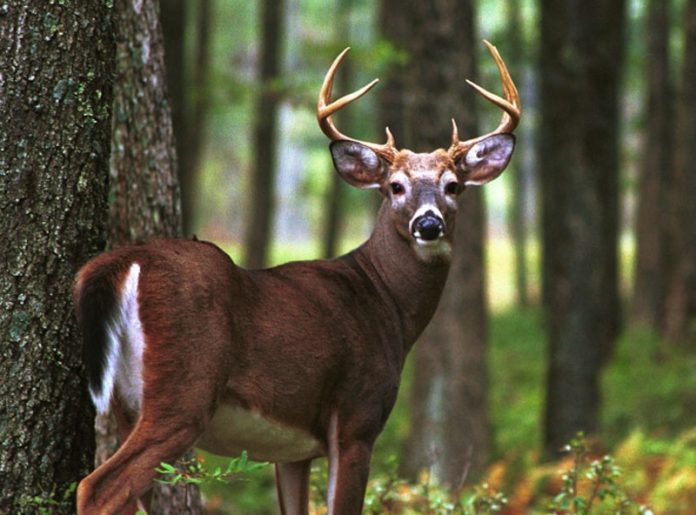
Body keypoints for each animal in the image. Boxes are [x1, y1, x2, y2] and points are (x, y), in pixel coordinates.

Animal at [75, 41, 516, 515]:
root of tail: (124, 261)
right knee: (98, 486)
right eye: (395, 186)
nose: (428, 224)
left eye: (453, 186)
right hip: (183, 388)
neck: (386, 303)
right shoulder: (357, 416)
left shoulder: (293, 452)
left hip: (126, 404)